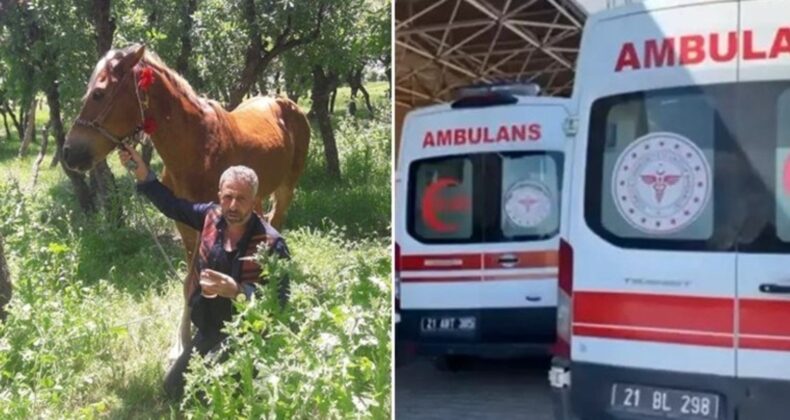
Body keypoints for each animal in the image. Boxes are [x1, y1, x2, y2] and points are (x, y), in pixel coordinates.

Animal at [63, 43, 310, 358]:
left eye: (99, 93)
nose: (70, 154)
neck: (198, 147)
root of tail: (284, 101)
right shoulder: (187, 225)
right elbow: (188, 283)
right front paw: (181, 341)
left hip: (286, 187)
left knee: (276, 222)